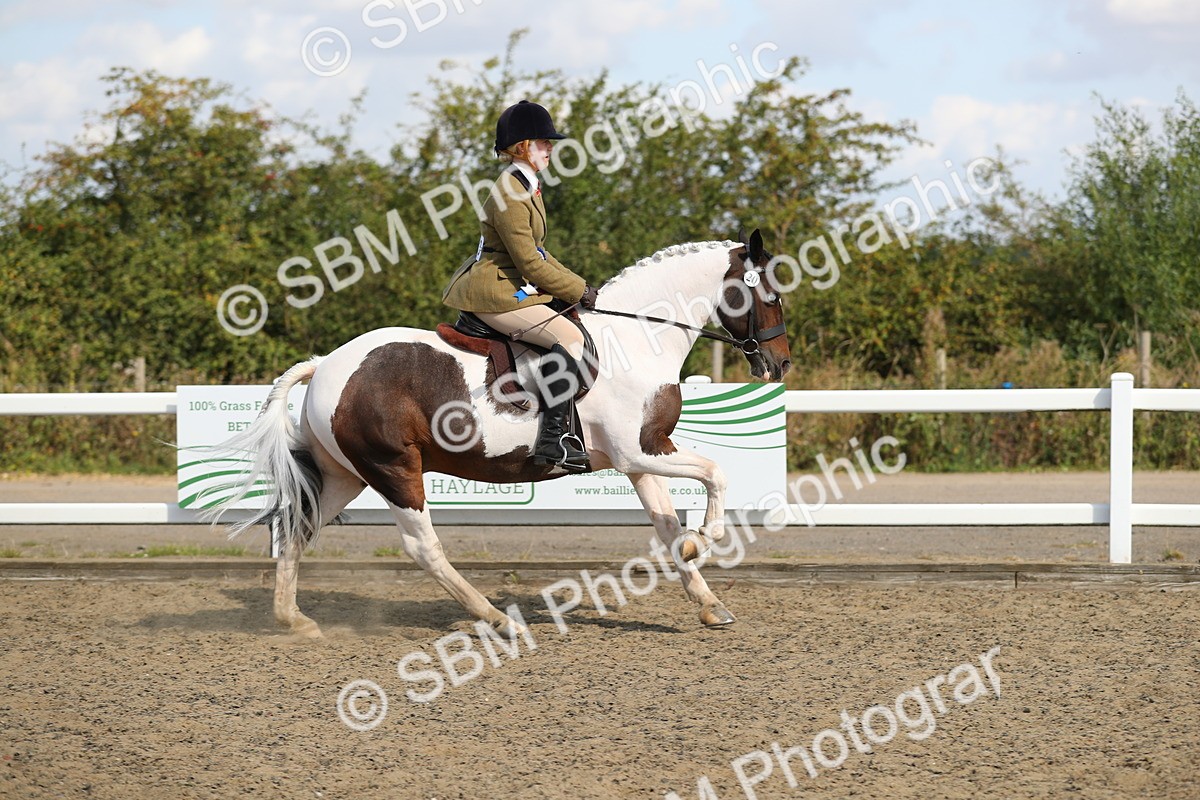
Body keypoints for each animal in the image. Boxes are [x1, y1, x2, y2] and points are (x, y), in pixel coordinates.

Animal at [202, 229, 791, 638]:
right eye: (772, 296)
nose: (780, 365)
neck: (638, 337)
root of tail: (326, 365)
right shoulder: (639, 451)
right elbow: (717, 473)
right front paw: (706, 537)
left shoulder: (641, 459)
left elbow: (669, 528)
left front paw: (709, 600)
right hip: (394, 469)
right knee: (422, 548)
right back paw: (496, 618)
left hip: (345, 474)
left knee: (296, 528)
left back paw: (293, 620)